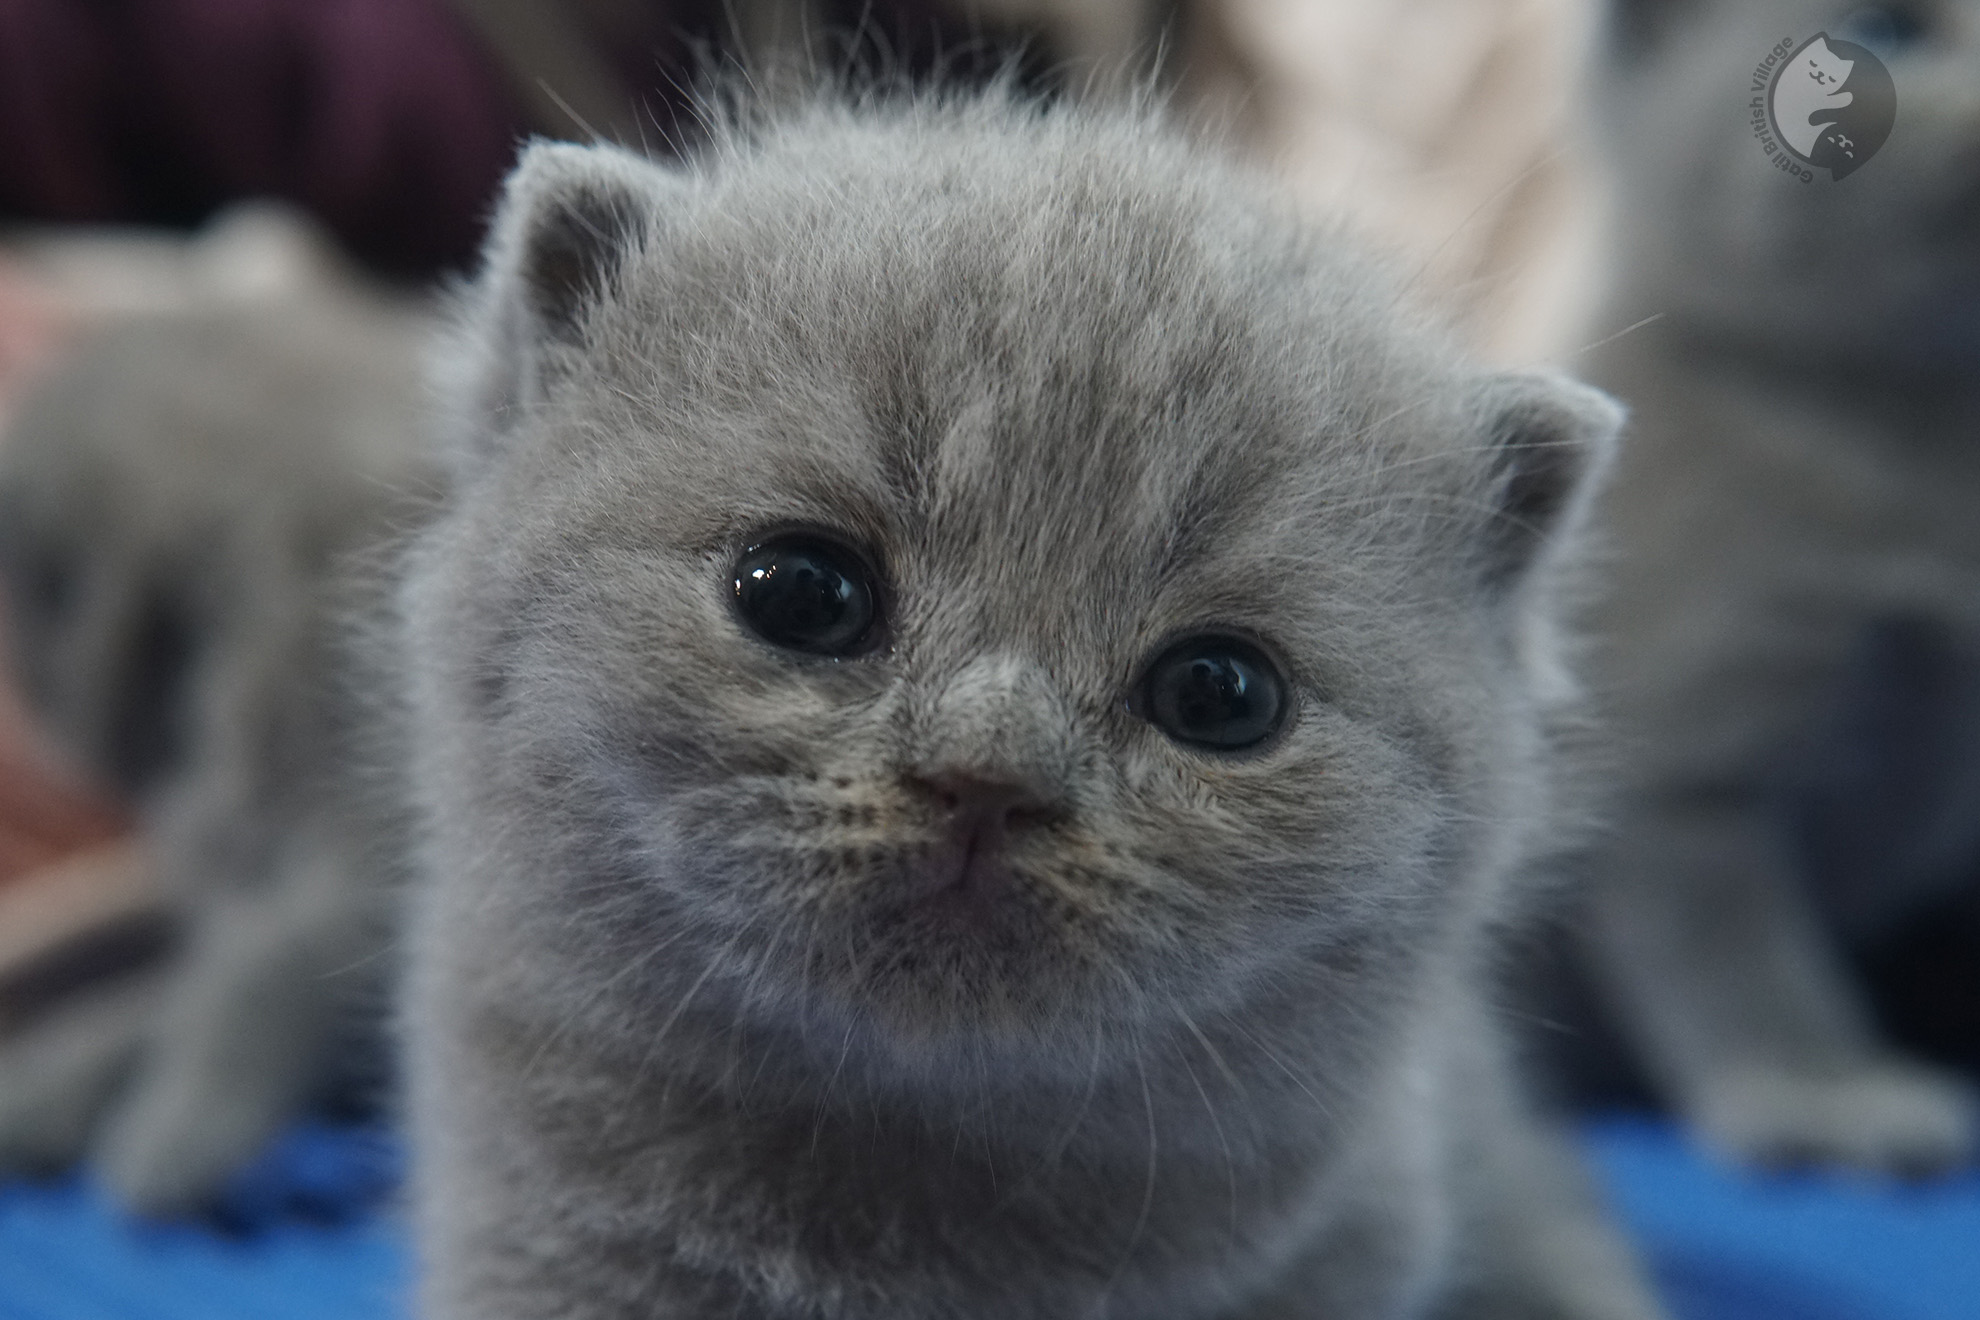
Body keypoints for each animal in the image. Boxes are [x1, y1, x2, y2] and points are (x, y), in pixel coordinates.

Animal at [0, 261, 433, 1219]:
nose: (50, 736)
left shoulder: (371, 864)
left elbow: (251, 972)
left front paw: (175, 1133)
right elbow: (164, 985)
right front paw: (50, 1089)